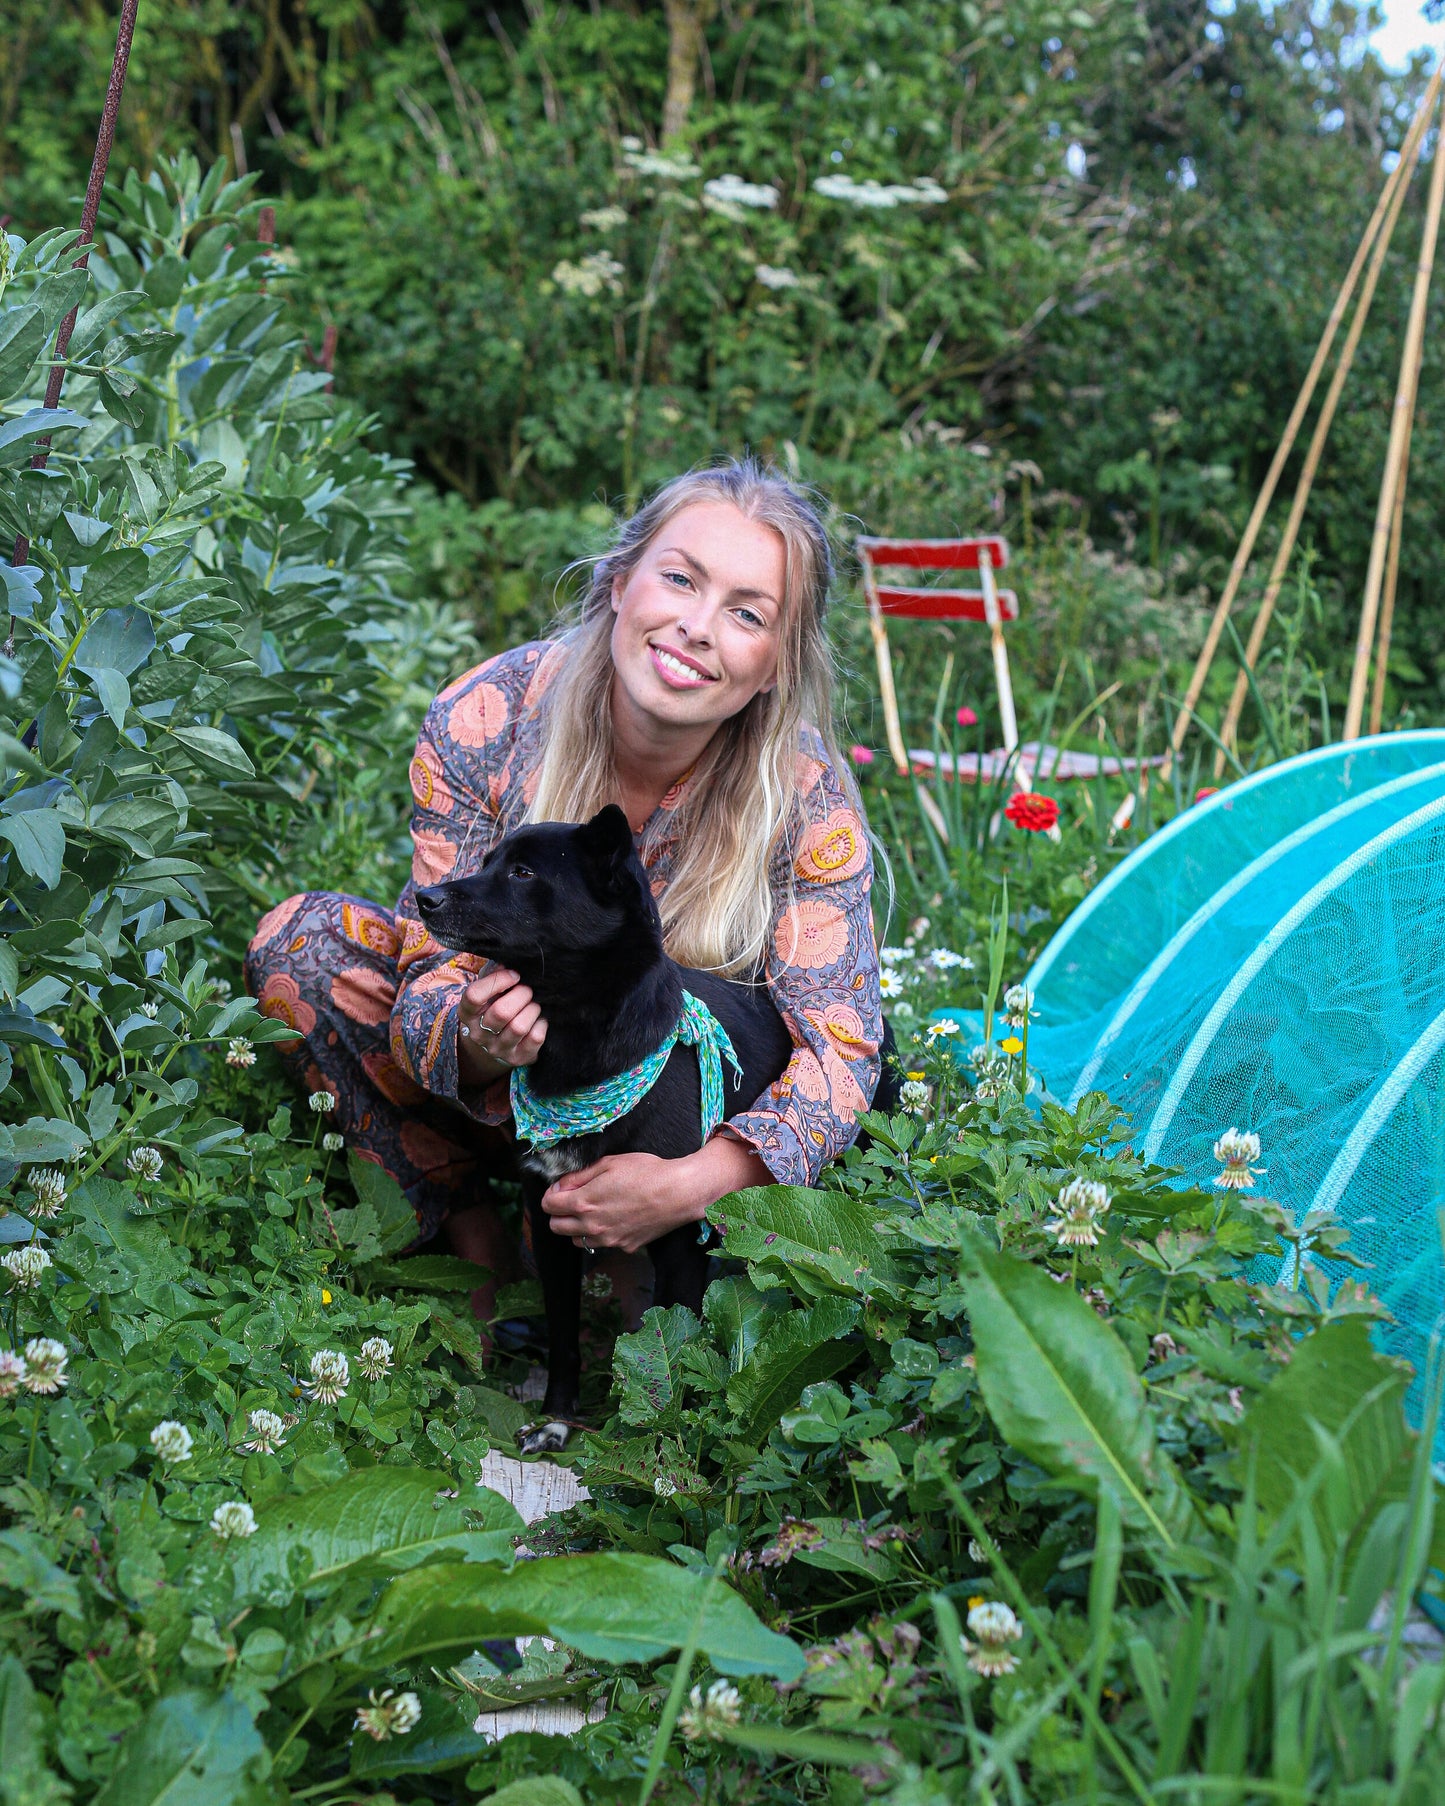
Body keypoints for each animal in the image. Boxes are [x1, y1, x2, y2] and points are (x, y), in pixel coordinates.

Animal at [411, 805, 794, 1452]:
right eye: (487, 861)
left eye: (522, 872)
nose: (425, 897)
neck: (577, 1037)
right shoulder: (550, 1222)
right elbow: (564, 1340)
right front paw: (557, 1421)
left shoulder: (678, 1236)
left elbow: (676, 1342)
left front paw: (665, 1447)